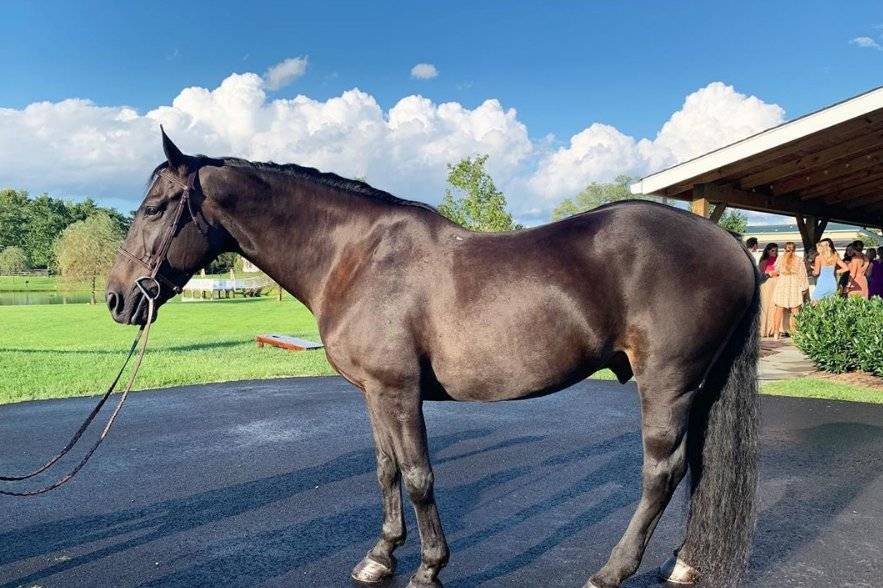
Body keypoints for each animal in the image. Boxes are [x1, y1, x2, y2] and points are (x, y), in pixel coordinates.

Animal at [105, 131, 760, 584]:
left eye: (156, 208)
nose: (117, 299)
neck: (354, 256)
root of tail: (728, 242)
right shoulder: (373, 393)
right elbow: (386, 470)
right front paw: (379, 557)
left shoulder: (398, 390)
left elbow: (419, 475)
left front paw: (428, 566)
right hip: (698, 388)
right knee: (698, 468)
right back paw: (683, 564)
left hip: (667, 383)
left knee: (661, 473)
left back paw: (613, 570)